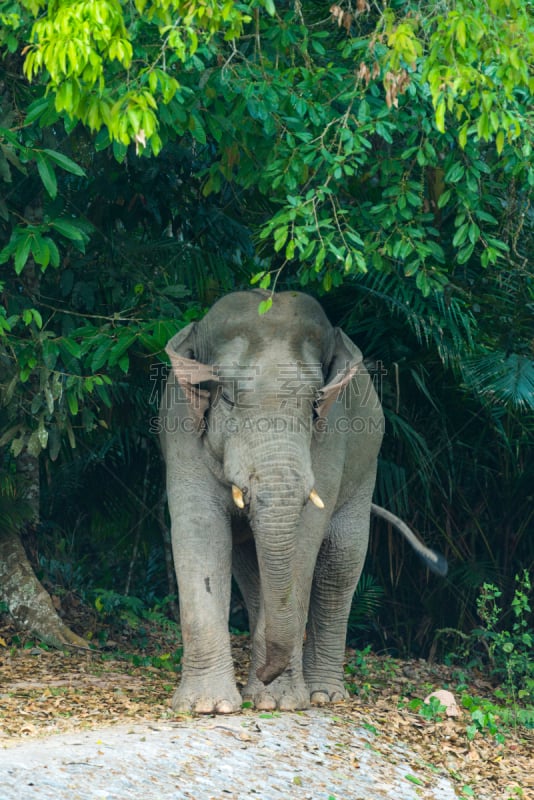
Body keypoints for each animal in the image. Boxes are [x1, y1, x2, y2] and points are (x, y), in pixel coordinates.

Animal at [159, 290, 448, 716]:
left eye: (314, 404)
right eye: (226, 396)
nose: (266, 672)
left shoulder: (332, 439)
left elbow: (305, 544)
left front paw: (274, 701)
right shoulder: (180, 428)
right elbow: (200, 534)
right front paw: (208, 706)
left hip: (366, 470)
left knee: (340, 565)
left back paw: (323, 694)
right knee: (253, 571)